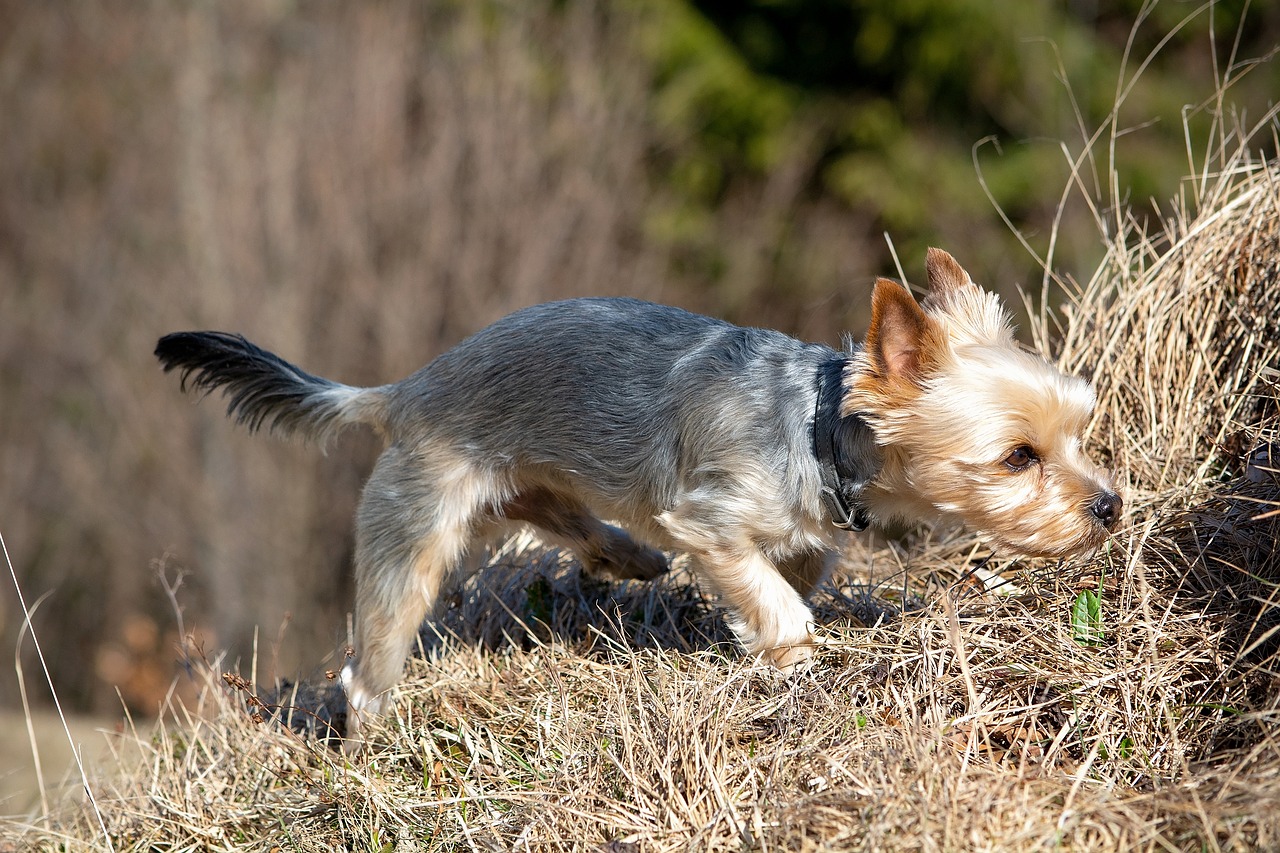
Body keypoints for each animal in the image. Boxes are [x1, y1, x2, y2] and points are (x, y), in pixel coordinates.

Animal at [157, 247, 1121, 737]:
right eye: (1018, 456)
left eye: (1081, 431)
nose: (1109, 505)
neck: (817, 426)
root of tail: (405, 389)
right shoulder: (711, 520)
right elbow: (778, 606)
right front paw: (794, 661)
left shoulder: (802, 538)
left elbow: (789, 580)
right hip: (416, 534)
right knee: (369, 669)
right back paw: (370, 745)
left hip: (527, 478)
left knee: (557, 511)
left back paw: (624, 555)